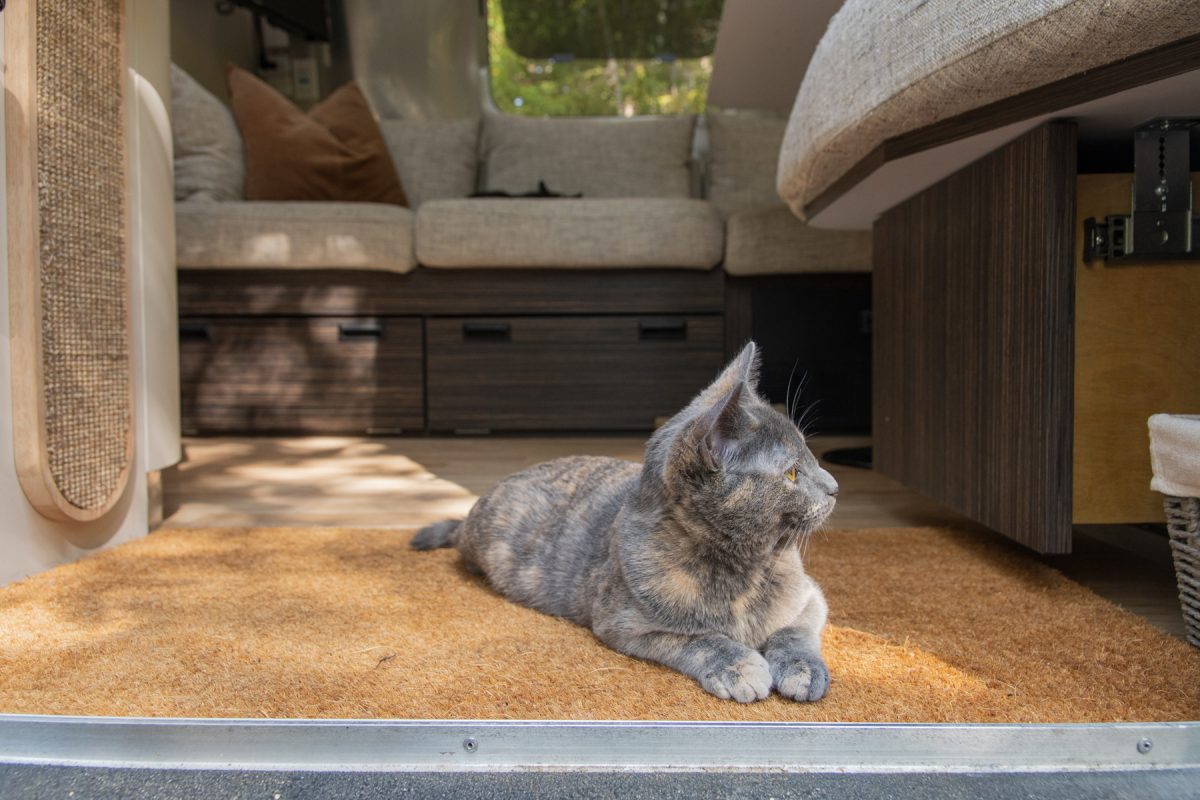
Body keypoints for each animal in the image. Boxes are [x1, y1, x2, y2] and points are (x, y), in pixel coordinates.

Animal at [410, 340, 835, 705]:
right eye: (792, 473)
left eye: (810, 456)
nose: (834, 486)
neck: (743, 573)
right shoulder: (626, 624)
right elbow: (700, 639)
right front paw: (739, 666)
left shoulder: (810, 597)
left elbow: (793, 632)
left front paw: (803, 670)